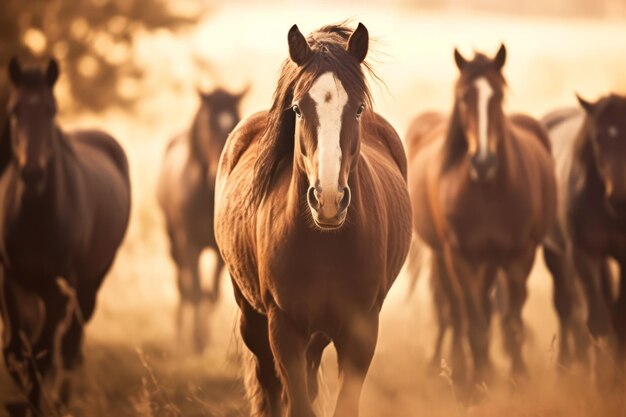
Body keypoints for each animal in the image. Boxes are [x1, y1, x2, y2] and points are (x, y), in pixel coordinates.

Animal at [0, 57, 130, 414]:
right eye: (14, 111)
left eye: (51, 110)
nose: (32, 174)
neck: (35, 216)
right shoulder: (12, 282)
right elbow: (17, 351)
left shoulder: (58, 291)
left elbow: (43, 354)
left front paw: (36, 405)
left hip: (88, 285)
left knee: (71, 346)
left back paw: (63, 401)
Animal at [156, 85, 246, 352]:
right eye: (207, 123)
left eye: (235, 119)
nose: (217, 171)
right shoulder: (190, 244)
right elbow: (195, 291)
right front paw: (196, 340)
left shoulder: (220, 250)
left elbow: (212, 293)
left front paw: (204, 336)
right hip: (173, 240)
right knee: (181, 283)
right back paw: (179, 331)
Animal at [212, 23, 412, 416]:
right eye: (298, 109)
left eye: (358, 108)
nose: (329, 200)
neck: (326, 247)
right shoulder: (284, 330)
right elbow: (295, 401)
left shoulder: (362, 331)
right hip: (253, 319)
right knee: (270, 385)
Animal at [404, 44, 556, 384]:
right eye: (463, 97)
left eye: (497, 95)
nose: (483, 162)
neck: (488, 194)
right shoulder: (460, 256)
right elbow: (472, 323)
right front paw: (474, 381)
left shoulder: (518, 256)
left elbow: (511, 323)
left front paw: (517, 379)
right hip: (445, 257)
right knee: (453, 312)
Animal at [540, 94, 624, 380]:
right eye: (597, 138)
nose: (618, 197)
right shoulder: (582, 253)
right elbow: (595, 320)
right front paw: (600, 380)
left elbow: (618, 312)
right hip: (555, 254)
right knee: (565, 305)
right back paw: (566, 366)